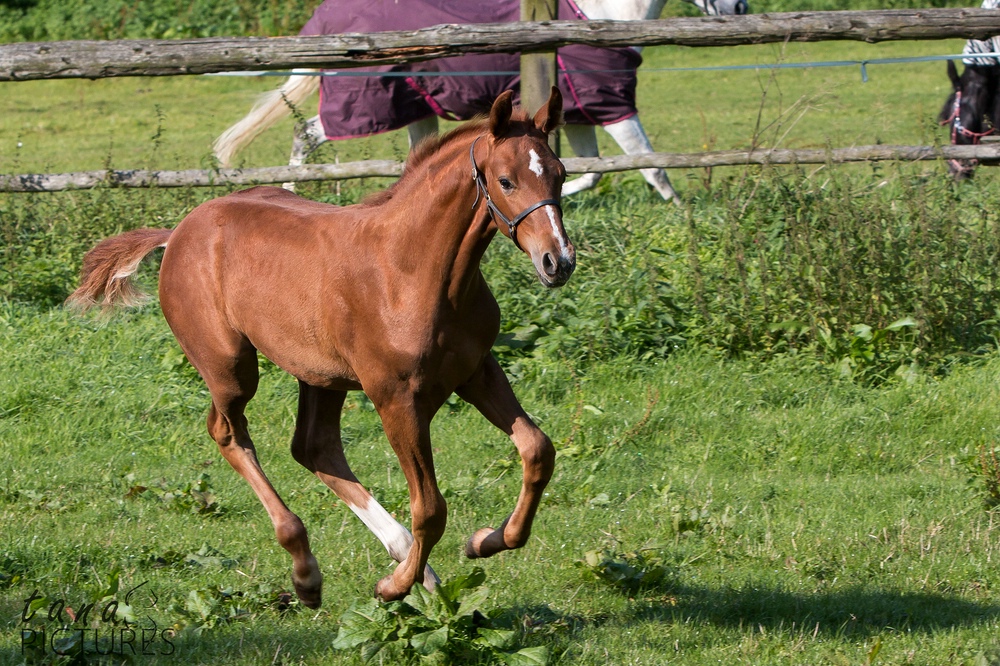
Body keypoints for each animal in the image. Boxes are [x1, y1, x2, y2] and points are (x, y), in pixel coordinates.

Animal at [66, 88, 576, 600]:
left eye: (560, 173)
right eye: (506, 180)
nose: (558, 262)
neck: (412, 270)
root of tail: (176, 233)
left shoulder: (476, 370)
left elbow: (538, 450)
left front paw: (486, 541)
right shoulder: (395, 398)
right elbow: (431, 508)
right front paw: (393, 587)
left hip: (320, 375)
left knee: (314, 447)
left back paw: (404, 559)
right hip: (231, 367)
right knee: (229, 432)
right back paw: (308, 570)